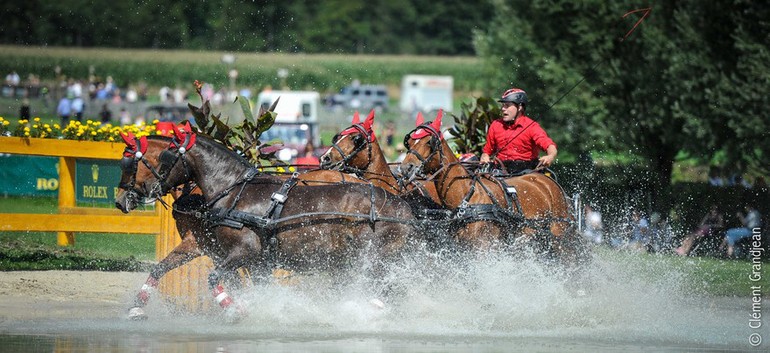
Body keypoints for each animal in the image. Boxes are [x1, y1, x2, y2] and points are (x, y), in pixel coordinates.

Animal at [115, 126, 414, 320]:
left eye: (163, 158)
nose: (120, 201)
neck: (234, 190)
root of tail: (402, 206)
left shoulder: (244, 251)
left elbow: (214, 279)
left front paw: (236, 310)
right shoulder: (245, 258)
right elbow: (162, 268)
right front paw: (136, 307)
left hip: (374, 257)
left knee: (387, 285)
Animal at [396, 111, 584, 262]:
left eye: (429, 142)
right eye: (409, 143)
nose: (405, 168)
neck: (467, 196)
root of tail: (549, 182)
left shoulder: (484, 248)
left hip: (560, 237)